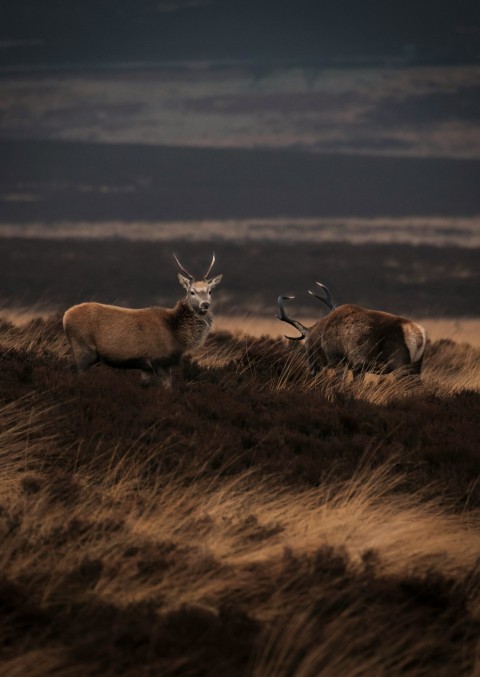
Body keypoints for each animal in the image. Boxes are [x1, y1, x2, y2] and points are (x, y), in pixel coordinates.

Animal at [63, 253, 223, 388]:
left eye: (210, 291)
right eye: (192, 292)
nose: (205, 305)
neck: (177, 335)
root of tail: (65, 316)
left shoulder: (146, 367)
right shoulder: (160, 360)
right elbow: (167, 388)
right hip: (82, 348)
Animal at [277, 282, 426, 379]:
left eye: (307, 345)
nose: (311, 370)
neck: (321, 335)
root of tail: (419, 335)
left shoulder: (337, 360)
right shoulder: (358, 368)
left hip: (400, 364)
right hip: (416, 365)